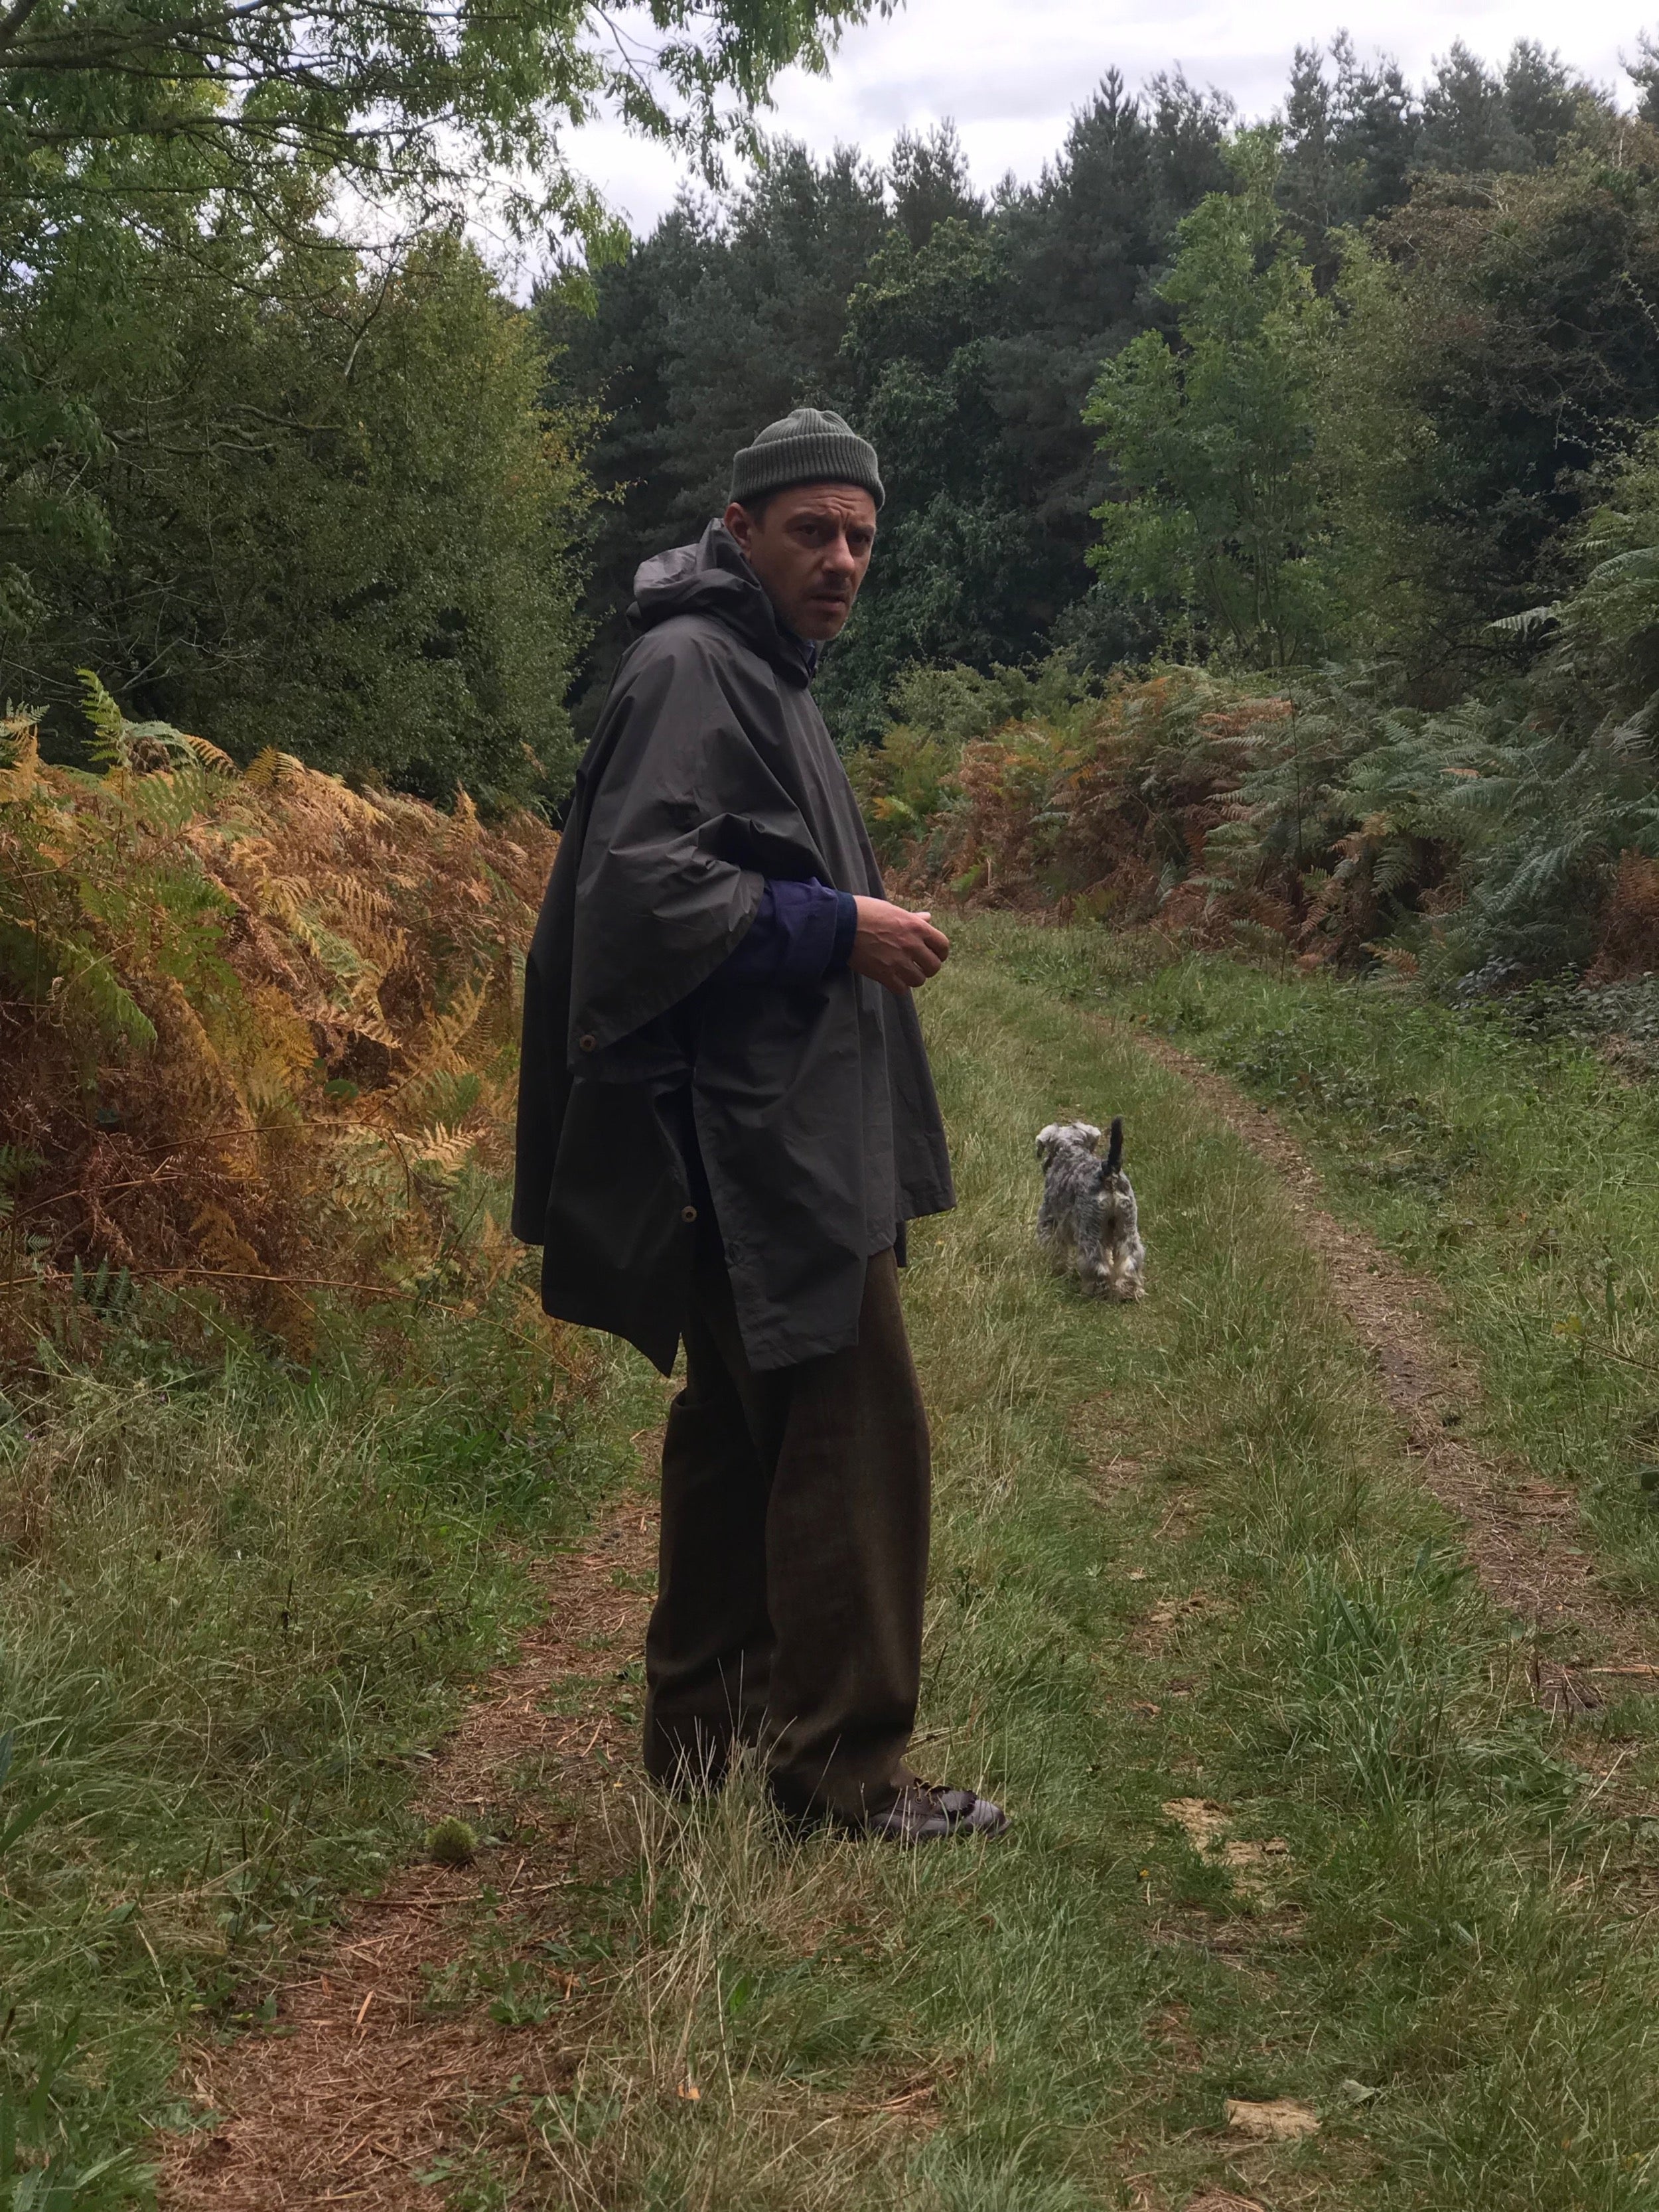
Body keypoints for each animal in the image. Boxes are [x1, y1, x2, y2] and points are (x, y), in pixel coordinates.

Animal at [1039, 1114, 1141, 1300]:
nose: (1045, 1165)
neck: (1071, 1149)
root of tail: (1110, 1174)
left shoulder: (1050, 1219)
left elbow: (1053, 1246)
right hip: (1127, 1227)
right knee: (1131, 1260)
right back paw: (1129, 1291)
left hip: (1091, 1229)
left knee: (1096, 1263)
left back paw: (1095, 1290)